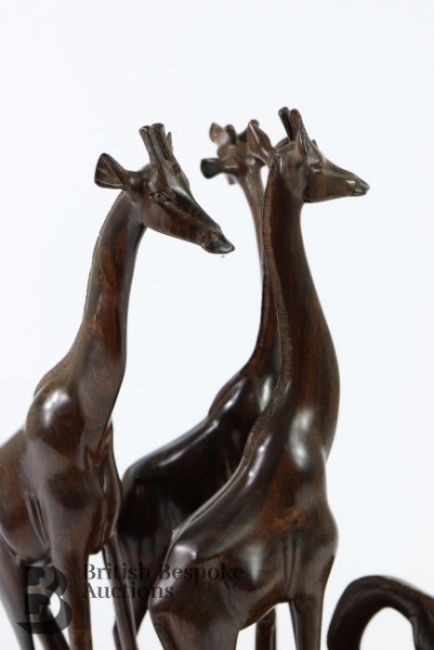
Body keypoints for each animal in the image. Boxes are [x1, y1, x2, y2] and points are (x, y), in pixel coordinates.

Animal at [0, 123, 233, 650]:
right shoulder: (68, 548)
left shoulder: (106, 539)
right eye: (162, 193)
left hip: (34, 568)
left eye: (190, 184)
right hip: (10, 564)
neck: (91, 417)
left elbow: (125, 631)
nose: (221, 240)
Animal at [149, 107, 369, 650]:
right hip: (214, 635)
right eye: (315, 159)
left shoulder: (273, 603)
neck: (311, 428)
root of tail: (159, 606)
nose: (360, 183)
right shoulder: (312, 581)